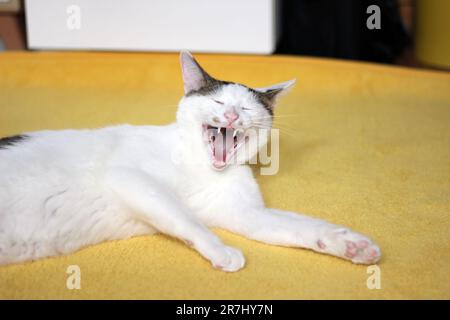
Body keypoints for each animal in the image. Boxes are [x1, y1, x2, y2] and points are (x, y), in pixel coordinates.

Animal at [0, 52, 380, 270]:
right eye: (218, 103)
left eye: (246, 108)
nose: (231, 115)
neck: (202, 168)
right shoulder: (129, 177)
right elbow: (184, 216)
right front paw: (222, 251)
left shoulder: (246, 213)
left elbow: (301, 227)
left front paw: (350, 245)